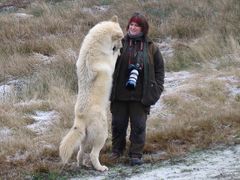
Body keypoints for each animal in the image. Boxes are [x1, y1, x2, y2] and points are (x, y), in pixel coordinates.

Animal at [59, 15, 124, 172]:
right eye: (121, 38)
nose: (122, 48)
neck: (96, 46)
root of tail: (80, 119)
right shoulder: (110, 64)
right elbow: (113, 58)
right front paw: (116, 53)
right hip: (103, 134)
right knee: (93, 154)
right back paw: (101, 168)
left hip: (85, 139)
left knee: (80, 153)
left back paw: (82, 164)